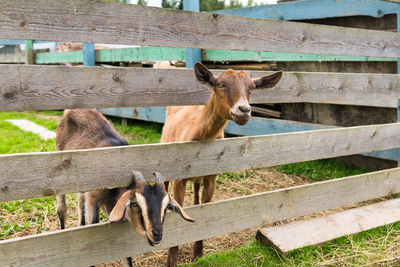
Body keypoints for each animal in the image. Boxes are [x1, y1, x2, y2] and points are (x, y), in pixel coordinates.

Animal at [55, 110, 194, 266]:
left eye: (165, 208)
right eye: (135, 204)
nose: (157, 234)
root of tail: (70, 111)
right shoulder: (93, 198)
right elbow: (93, 225)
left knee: (80, 203)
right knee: (62, 209)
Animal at [161, 61, 282, 266]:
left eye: (252, 87)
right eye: (220, 84)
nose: (244, 110)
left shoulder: (211, 178)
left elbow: (205, 209)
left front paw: (198, 254)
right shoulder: (180, 179)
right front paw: (172, 260)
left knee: (196, 194)